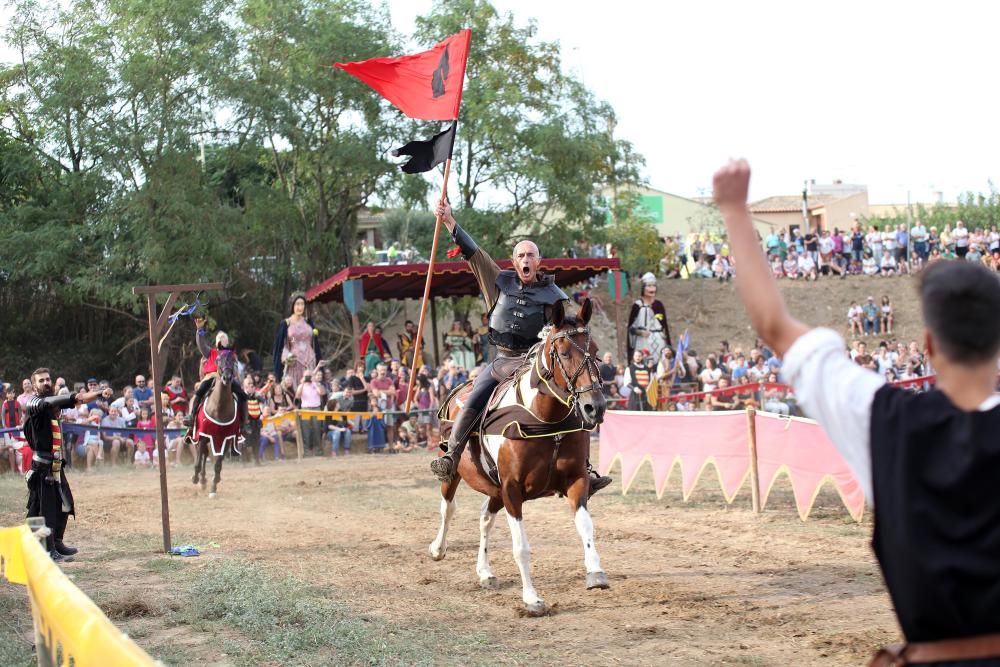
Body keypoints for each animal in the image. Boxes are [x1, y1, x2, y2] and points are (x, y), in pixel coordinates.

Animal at [426, 298, 604, 616]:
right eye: (564, 352)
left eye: (595, 352)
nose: (594, 407)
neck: (545, 420)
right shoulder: (512, 490)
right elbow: (521, 548)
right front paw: (532, 599)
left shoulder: (576, 480)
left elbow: (586, 525)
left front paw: (595, 571)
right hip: (456, 473)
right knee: (448, 508)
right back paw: (438, 548)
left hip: (494, 488)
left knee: (485, 518)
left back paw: (485, 571)